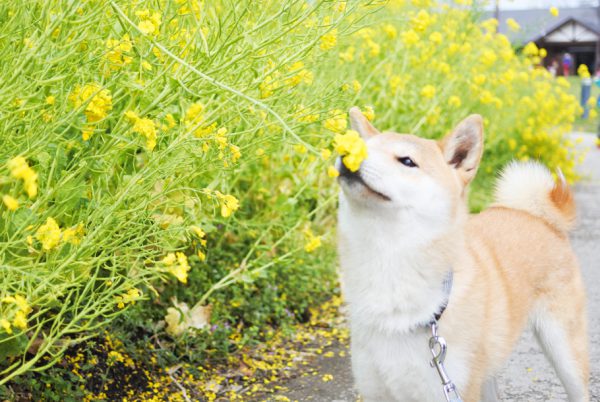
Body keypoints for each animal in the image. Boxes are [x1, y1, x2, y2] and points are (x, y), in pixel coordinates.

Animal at [338, 107, 592, 402]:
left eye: (407, 161)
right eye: (360, 145)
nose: (346, 153)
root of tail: (537, 216)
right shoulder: (376, 390)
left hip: (564, 353)